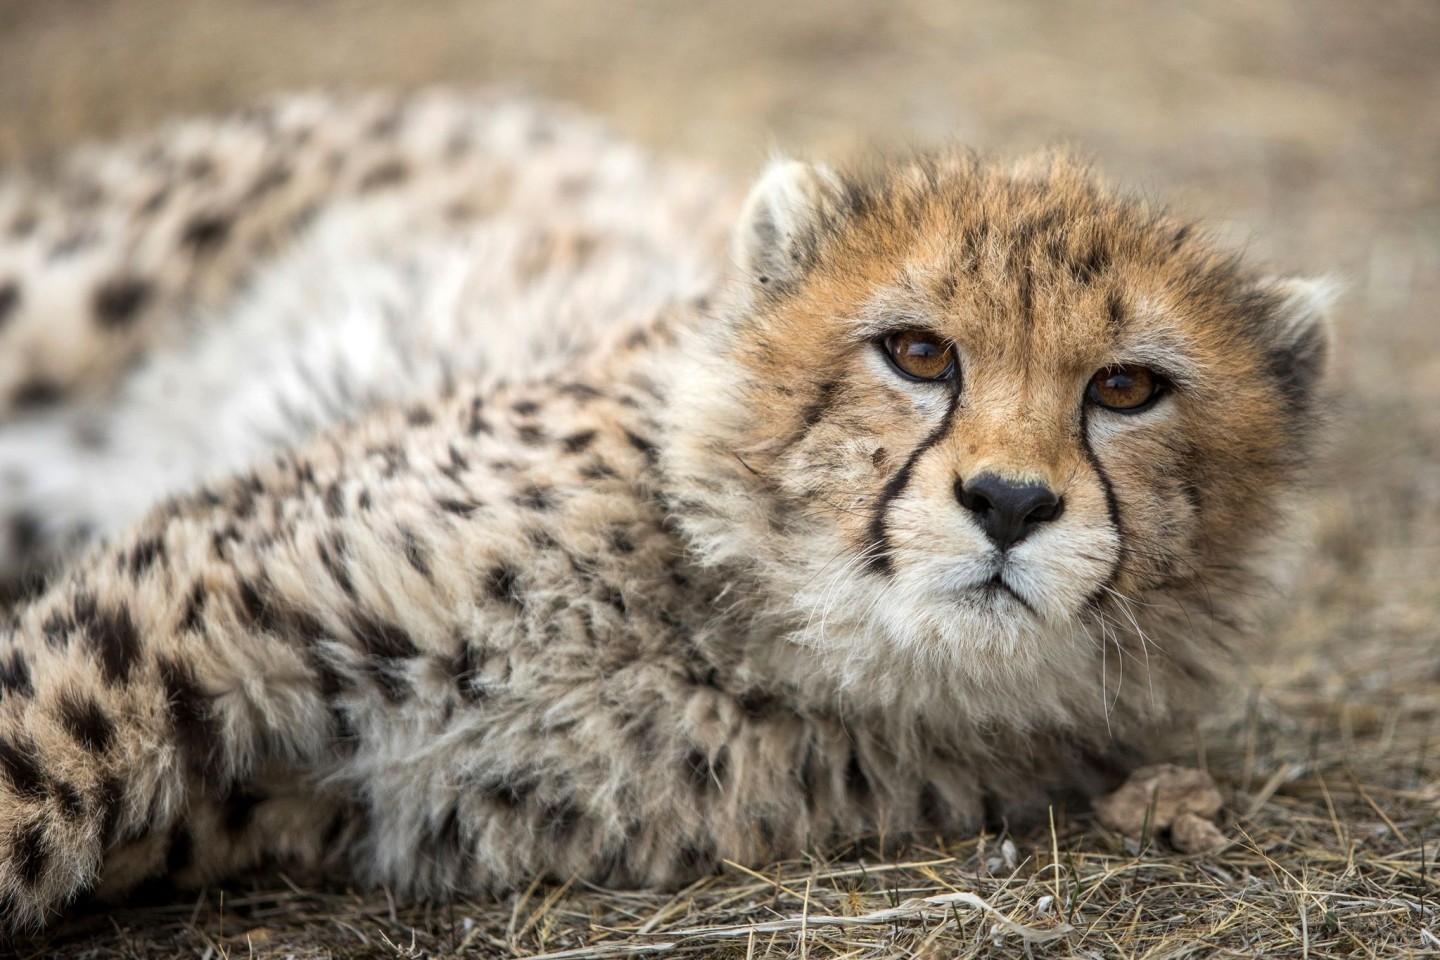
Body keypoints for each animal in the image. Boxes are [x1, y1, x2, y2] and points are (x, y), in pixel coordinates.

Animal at [0, 101, 1324, 932]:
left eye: (1127, 388)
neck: (743, 625)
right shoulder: (205, 580)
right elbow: (37, 759)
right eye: (917, 353)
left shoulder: (317, 787)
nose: (1009, 502)